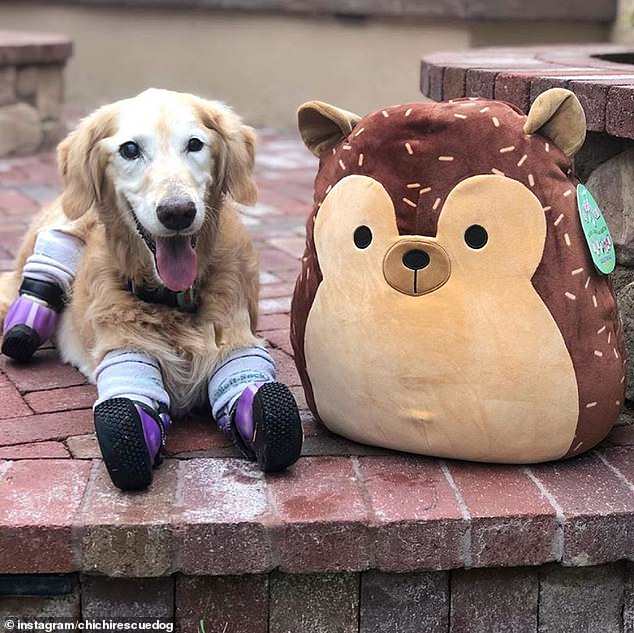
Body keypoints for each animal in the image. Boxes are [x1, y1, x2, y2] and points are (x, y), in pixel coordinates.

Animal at [0, 87, 302, 488]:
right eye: (130, 149)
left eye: (195, 144)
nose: (177, 212)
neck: (173, 299)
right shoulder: (124, 347)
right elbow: (132, 400)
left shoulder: (235, 337)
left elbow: (247, 384)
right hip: (71, 216)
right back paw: (24, 325)